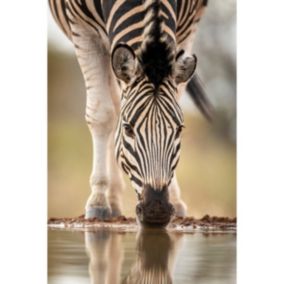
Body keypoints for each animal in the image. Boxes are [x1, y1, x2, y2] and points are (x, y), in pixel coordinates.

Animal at [48, 0, 212, 226]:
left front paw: (175, 198)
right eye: (128, 129)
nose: (156, 210)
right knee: (115, 107)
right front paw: (98, 201)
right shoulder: (82, 27)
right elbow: (101, 114)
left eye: (180, 129)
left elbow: (176, 97)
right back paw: (111, 201)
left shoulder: (189, 25)